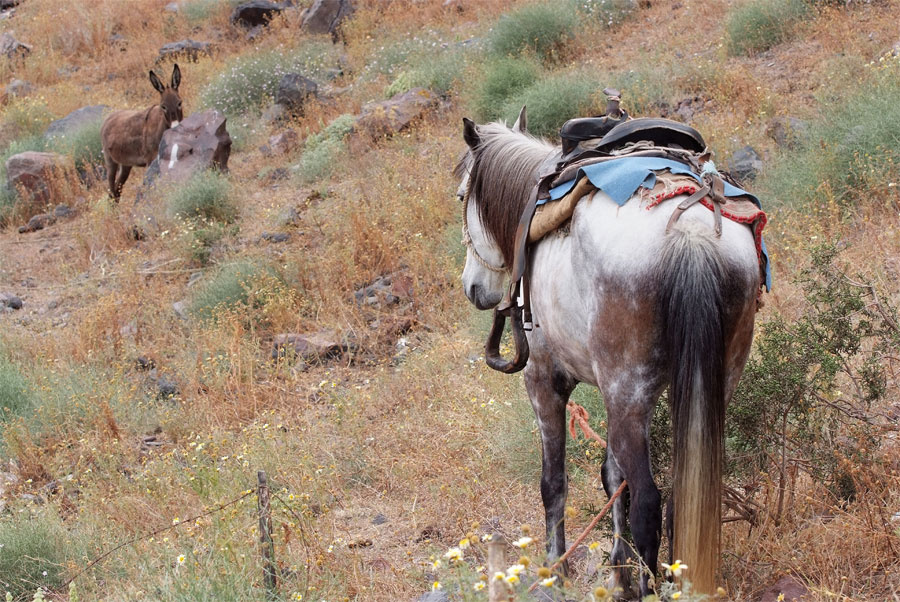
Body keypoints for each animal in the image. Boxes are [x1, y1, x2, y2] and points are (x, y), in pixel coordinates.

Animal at [100, 64, 183, 201]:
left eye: (179, 103)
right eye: (163, 106)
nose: (175, 127)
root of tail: (108, 118)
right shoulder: (150, 160)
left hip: (126, 164)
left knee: (117, 189)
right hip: (110, 161)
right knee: (111, 189)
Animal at [455, 108, 760, 597]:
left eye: (463, 195)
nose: (474, 288)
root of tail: (689, 232)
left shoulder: (545, 382)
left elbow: (554, 483)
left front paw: (556, 571)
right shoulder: (611, 393)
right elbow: (613, 477)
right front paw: (619, 573)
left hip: (628, 393)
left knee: (651, 502)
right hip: (707, 385)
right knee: (679, 494)